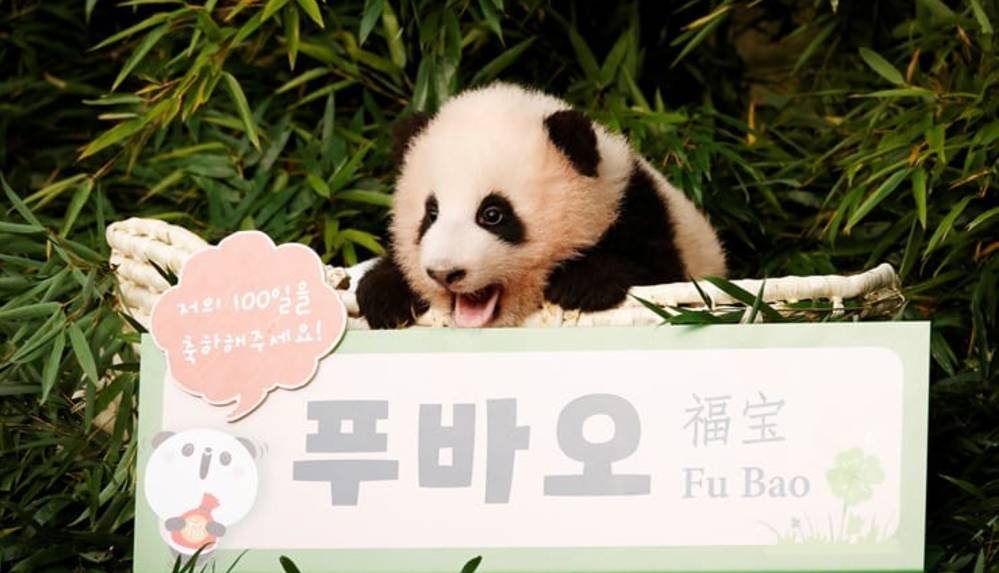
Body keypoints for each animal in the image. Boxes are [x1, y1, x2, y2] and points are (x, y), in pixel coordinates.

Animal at [357, 83, 725, 328]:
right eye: (430, 214)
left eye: (493, 214)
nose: (444, 272)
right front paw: (383, 295)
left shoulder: (639, 212)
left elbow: (659, 275)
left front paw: (580, 284)